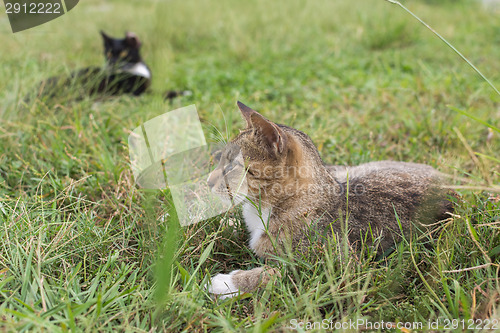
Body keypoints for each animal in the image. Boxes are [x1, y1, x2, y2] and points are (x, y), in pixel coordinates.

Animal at [205, 101, 456, 298]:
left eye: (232, 166)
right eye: (220, 159)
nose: (207, 182)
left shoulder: (341, 270)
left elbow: (279, 273)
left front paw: (226, 282)